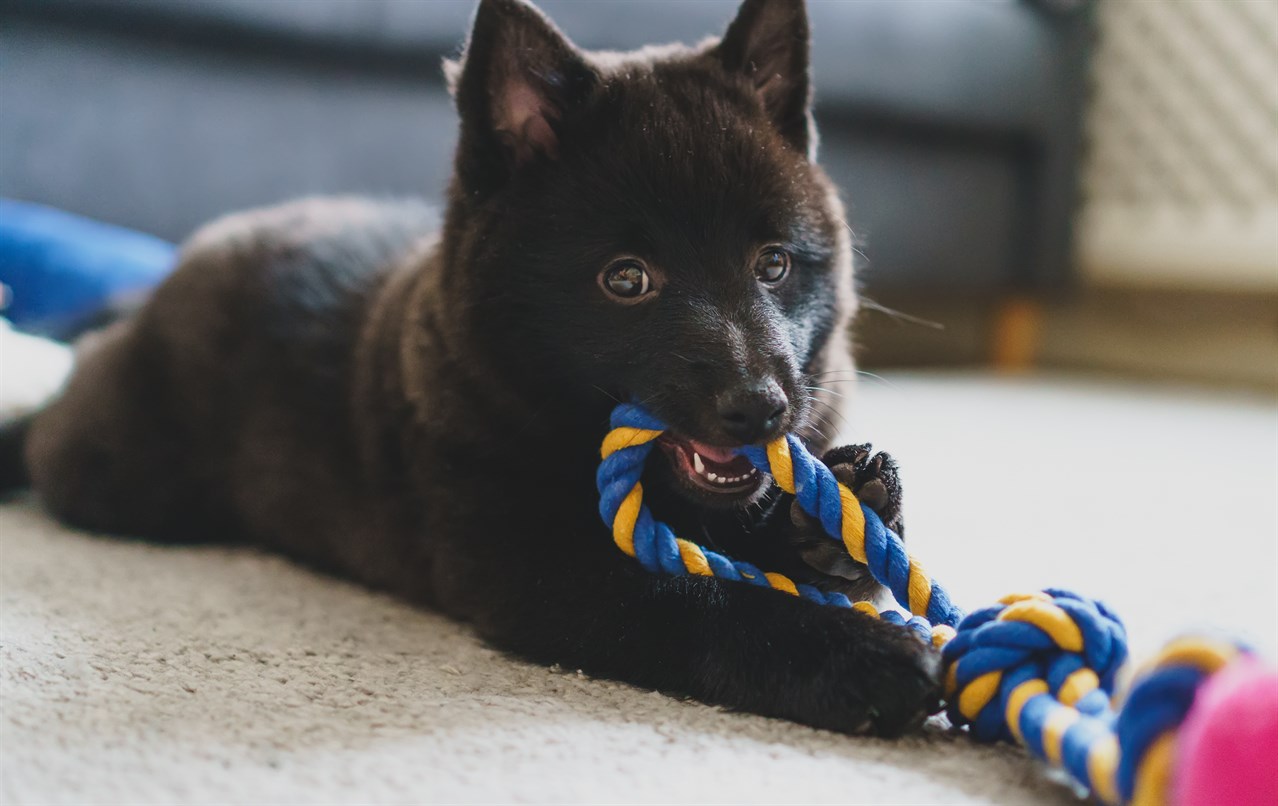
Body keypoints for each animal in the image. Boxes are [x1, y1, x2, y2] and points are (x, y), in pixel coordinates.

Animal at [0, 0, 940, 735]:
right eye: (627, 279)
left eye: (773, 265)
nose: (761, 407)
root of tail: (164, 281)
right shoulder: (541, 570)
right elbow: (700, 605)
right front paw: (862, 658)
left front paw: (834, 513)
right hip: (119, 472)